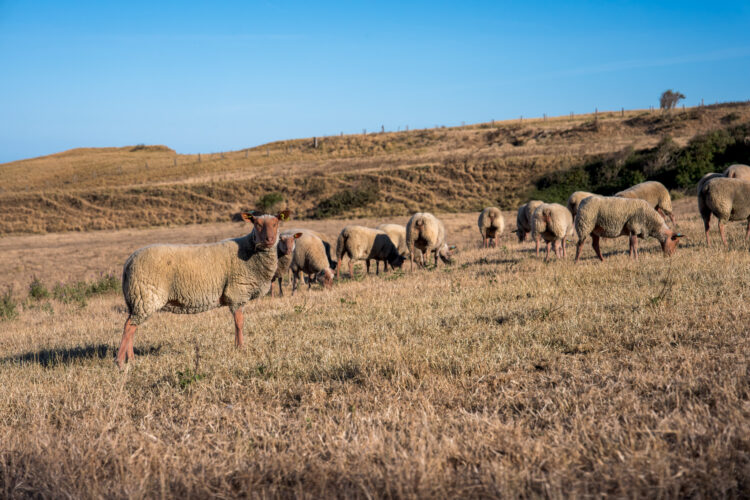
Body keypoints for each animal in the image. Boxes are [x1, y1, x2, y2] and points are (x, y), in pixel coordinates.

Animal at [117, 210, 289, 368]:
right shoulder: (237, 293)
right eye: (257, 224)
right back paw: (120, 361)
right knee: (129, 327)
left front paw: (237, 347)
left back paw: (130, 359)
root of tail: (128, 262)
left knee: (131, 326)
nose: (269, 240)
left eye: (276, 223)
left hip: (136, 299)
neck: (250, 252)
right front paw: (241, 349)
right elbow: (239, 323)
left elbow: (237, 323)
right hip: (145, 296)